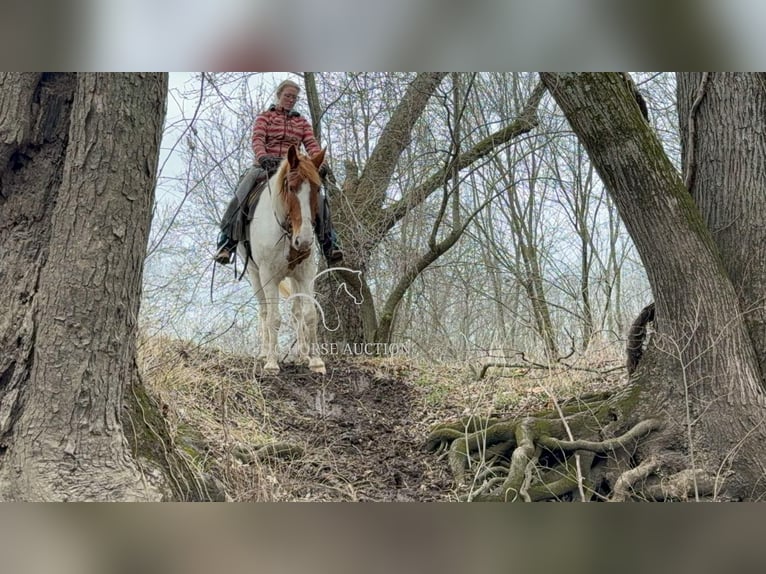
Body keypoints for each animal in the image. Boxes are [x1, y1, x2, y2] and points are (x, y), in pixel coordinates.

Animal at [238, 146, 326, 376]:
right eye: (291, 187)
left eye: (317, 189)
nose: (304, 240)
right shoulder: (268, 276)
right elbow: (273, 317)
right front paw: (271, 363)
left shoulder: (305, 274)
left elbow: (309, 314)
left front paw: (316, 362)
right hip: (254, 274)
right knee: (264, 311)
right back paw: (263, 353)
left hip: (293, 277)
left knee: (296, 312)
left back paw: (303, 355)